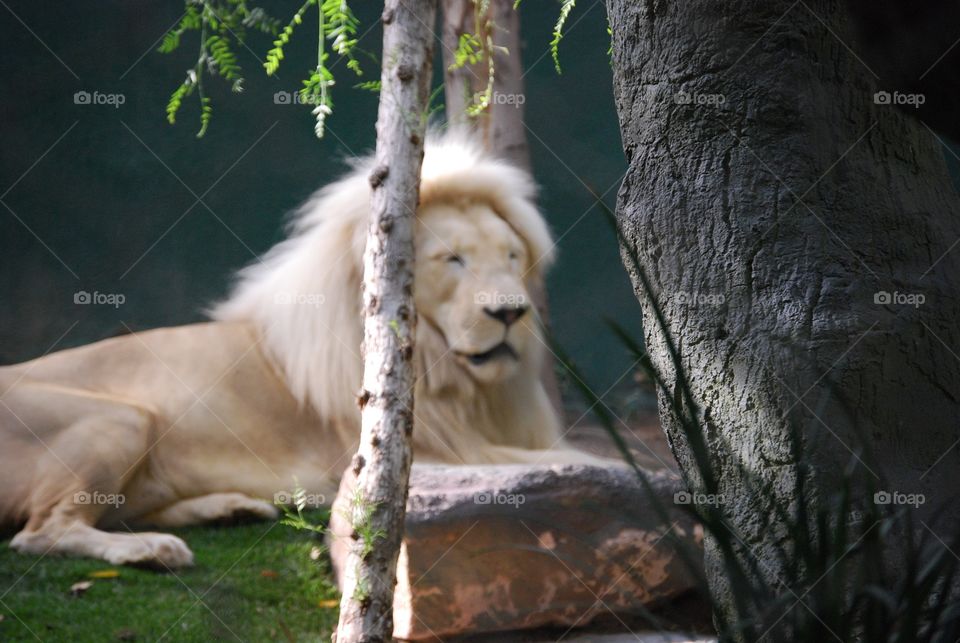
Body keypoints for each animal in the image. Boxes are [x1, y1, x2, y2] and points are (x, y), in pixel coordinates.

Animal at [0, 134, 603, 568]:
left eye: (511, 255)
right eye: (452, 260)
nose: (511, 313)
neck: (452, 380)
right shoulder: (418, 456)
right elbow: (588, 461)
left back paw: (229, 509)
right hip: (123, 418)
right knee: (41, 533)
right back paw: (153, 549)